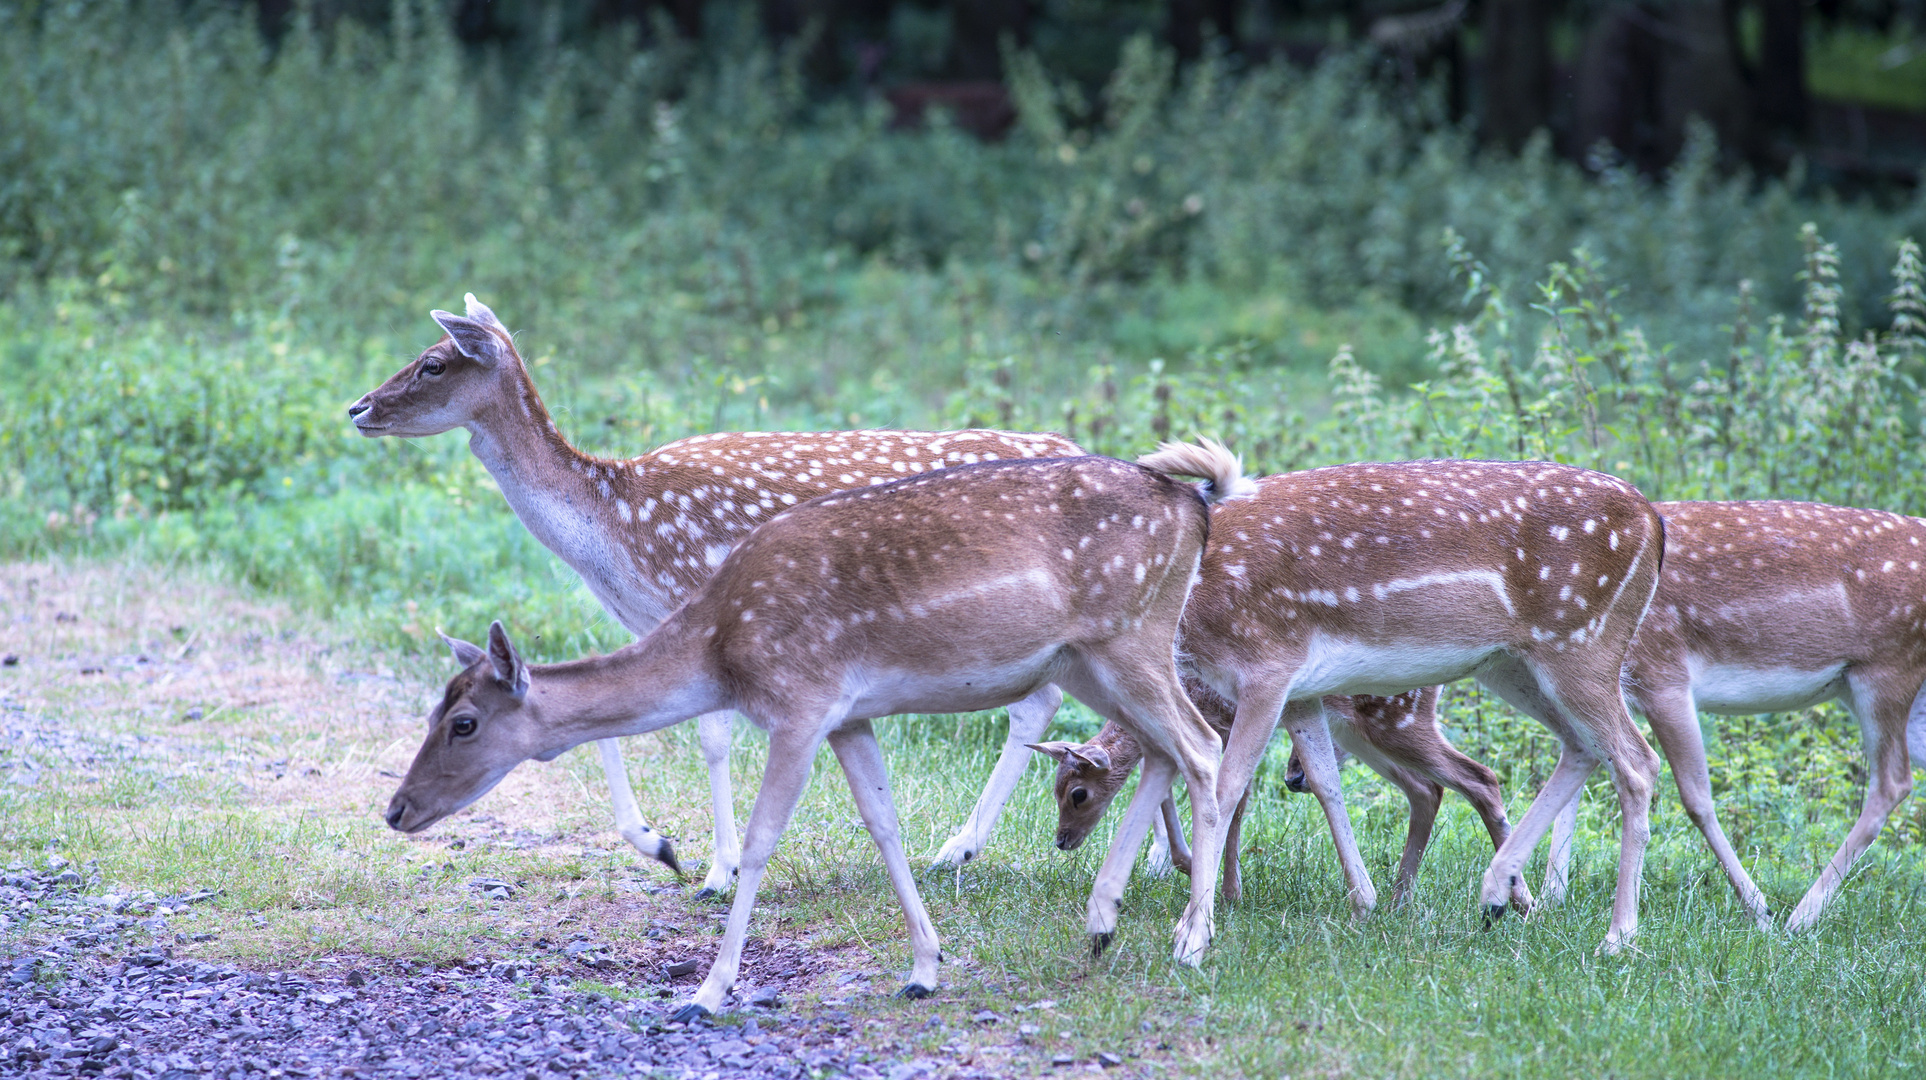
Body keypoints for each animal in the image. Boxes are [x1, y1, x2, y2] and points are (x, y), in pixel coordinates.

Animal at [348, 290, 1093, 889]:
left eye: (433, 363)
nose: (357, 408)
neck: (612, 529)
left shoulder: (698, 596)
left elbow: (710, 738)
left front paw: (715, 869)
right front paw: (660, 845)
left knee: (1045, 701)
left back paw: (962, 848)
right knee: (1048, 699)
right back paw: (969, 850)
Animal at [383, 442, 1255, 1016]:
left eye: (464, 722)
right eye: (433, 710)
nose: (395, 809)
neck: (722, 648)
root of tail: (1195, 505)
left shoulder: (799, 702)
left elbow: (765, 837)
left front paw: (707, 990)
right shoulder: (850, 716)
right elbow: (884, 823)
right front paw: (925, 968)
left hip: (1129, 633)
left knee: (1204, 747)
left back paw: (1192, 940)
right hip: (1088, 660)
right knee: (1162, 750)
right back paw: (1103, 922)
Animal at [1047, 685, 1525, 904]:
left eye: (1077, 794)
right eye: (1054, 791)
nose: (1061, 840)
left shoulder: (1225, 724)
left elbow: (1234, 805)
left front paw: (1227, 889)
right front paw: (1191, 865)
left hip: (1394, 721)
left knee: (1479, 777)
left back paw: (1521, 899)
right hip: (1360, 733)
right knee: (1428, 789)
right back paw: (1398, 899)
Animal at [1533, 500, 1926, 931]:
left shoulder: (1664, 675)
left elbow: (1696, 798)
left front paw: (1758, 909)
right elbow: (1577, 779)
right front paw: (1548, 898)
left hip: (1888, 670)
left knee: (1892, 782)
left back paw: (1800, 916)